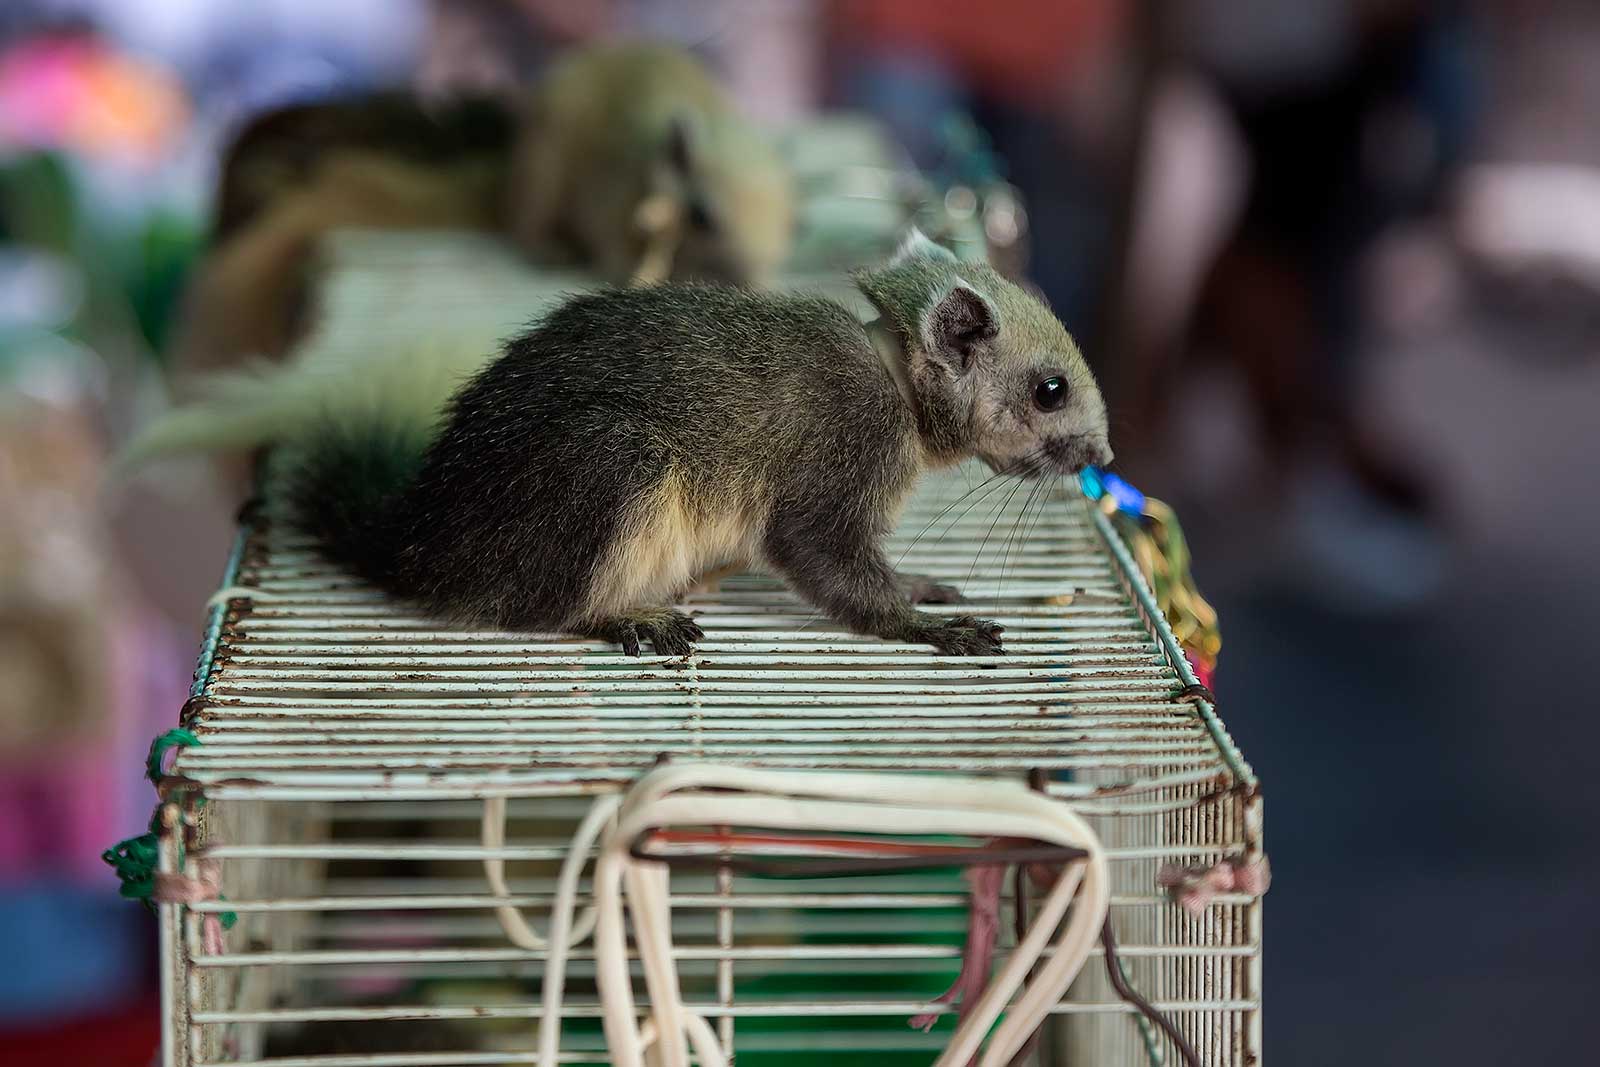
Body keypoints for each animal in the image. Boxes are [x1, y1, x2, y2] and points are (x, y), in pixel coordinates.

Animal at [124, 230, 1107, 655]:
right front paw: (928, 621)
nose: (1100, 457)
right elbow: (841, 574)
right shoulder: (830, 480)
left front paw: (924, 581)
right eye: (1050, 388)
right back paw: (633, 617)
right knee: (540, 607)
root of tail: (416, 539)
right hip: (614, 466)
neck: (896, 380)